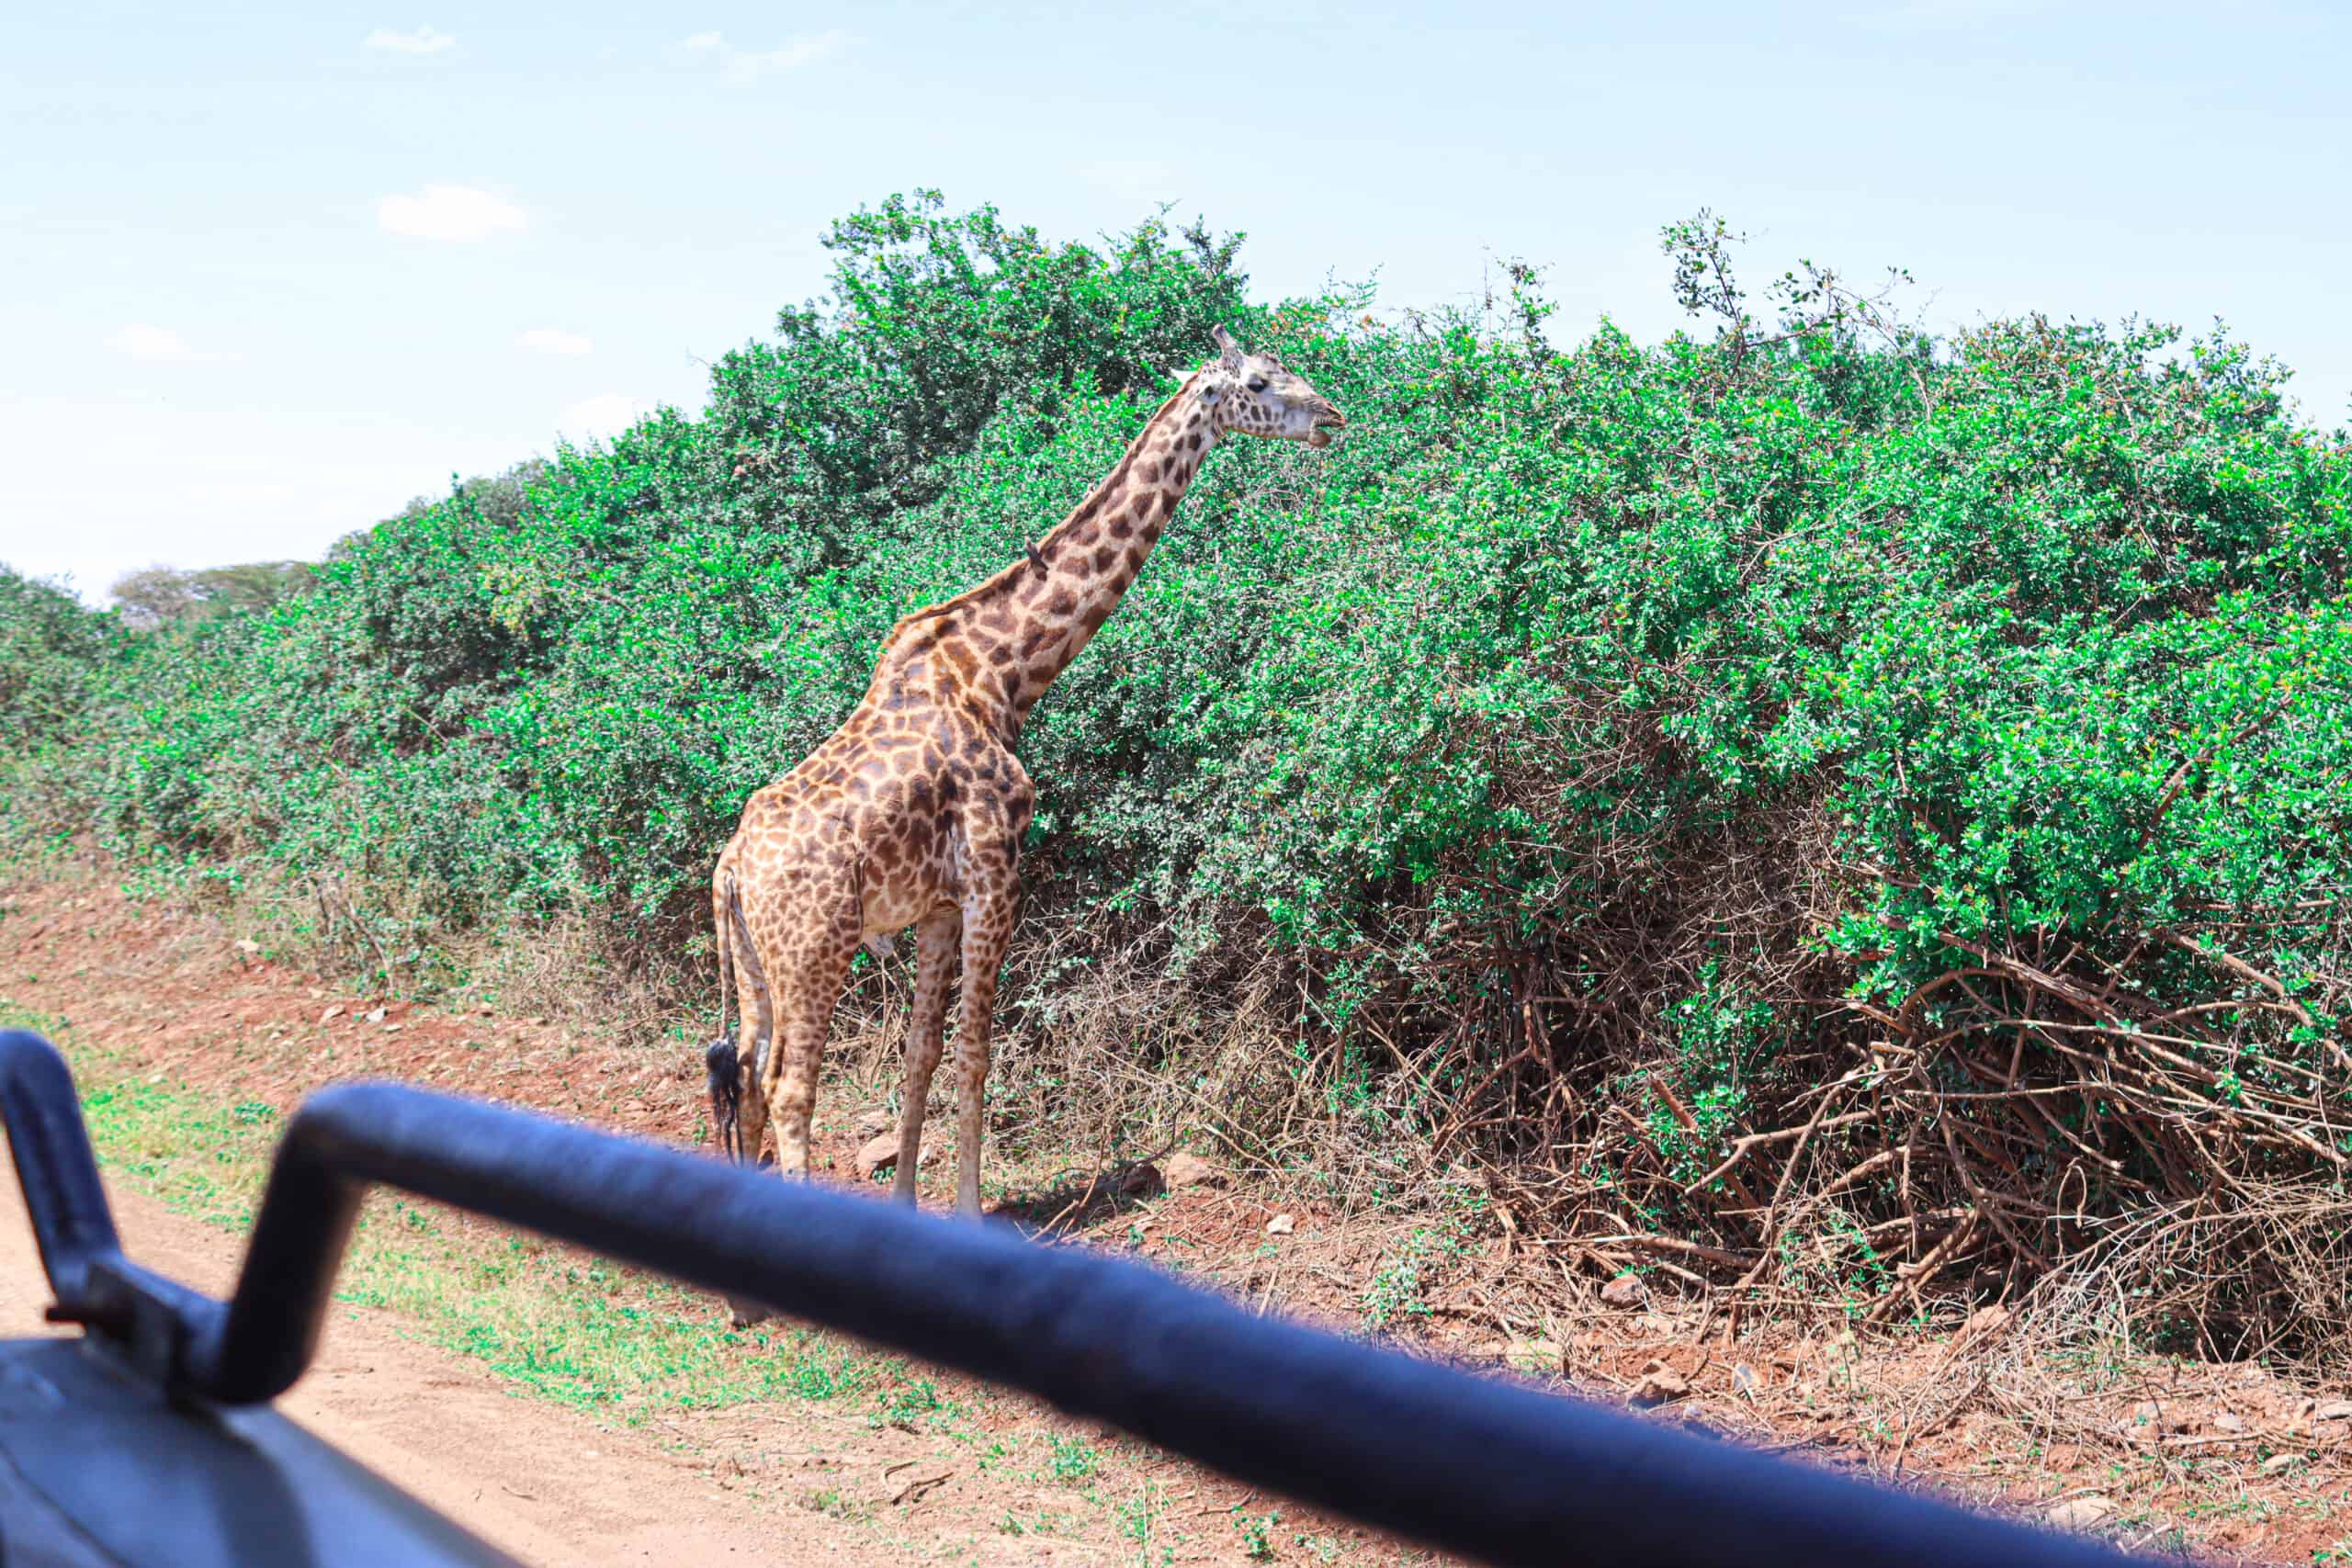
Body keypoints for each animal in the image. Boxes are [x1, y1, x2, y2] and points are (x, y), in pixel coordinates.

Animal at [703, 324, 1344, 1255]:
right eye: (1259, 382)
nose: (1331, 415)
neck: (1002, 674)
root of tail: (729, 867)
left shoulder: (938, 904)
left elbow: (925, 1053)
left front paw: (910, 1208)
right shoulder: (997, 876)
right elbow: (977, 1052)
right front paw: (970, 1215)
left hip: (756, 962)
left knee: (747, 1076)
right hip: (814, 948)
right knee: (788, 1087)